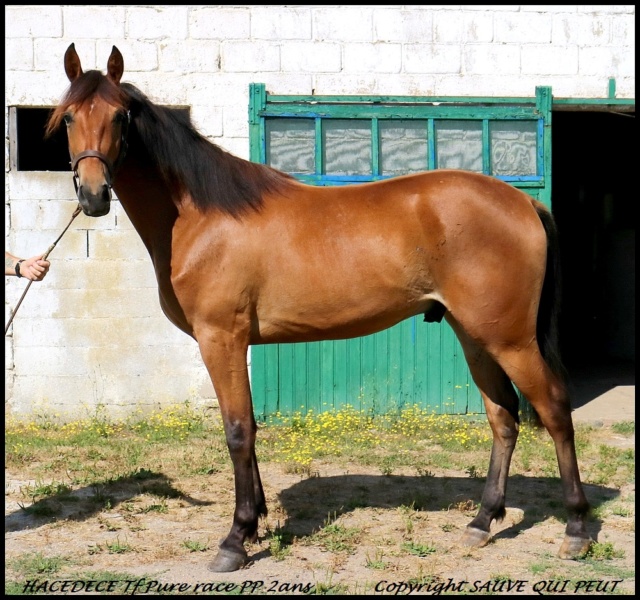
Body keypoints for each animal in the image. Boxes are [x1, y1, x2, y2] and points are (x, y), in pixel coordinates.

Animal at [46, 42, 592, 572]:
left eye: (120, 116)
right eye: (68, 117)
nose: (93, 196)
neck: (201, 216)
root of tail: (524, 204)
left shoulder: (221, 337)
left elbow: (237, 430)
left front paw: (235, 539)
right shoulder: (235, 342)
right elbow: (249, 427)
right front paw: (256, 522)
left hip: (511, 339)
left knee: (554, 409)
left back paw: (576, 530)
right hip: (474, 335)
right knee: (503, 417)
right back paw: (481, 522)